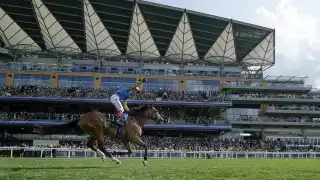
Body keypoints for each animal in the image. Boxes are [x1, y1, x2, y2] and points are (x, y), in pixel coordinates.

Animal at [33, 105, 164, 166]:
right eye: (156, 111)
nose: (162, 120)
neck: (135, 120)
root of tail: (81, 118)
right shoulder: (133, 137)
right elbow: (146, 146)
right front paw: (145, 161)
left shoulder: (125, 140)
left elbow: (130, 151)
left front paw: (117, 152)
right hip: (98, 130)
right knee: (101, 146)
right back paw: (114, 159)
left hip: (93, 133)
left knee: (90, 144)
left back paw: (104, 156)